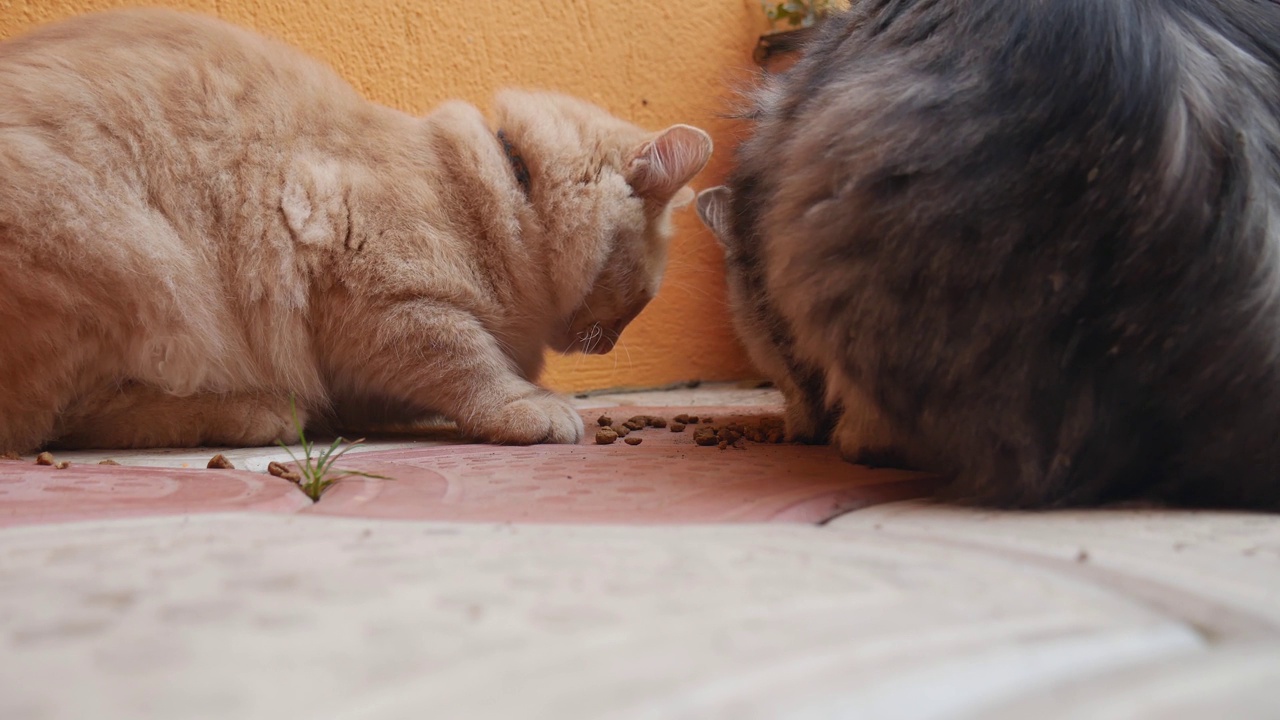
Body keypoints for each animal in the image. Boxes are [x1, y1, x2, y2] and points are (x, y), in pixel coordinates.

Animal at [0, 8, 711, 450]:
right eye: (640, 298)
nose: (612, 344)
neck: (500, 192)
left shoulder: (367, 369)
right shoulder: (385, 301)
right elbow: (469, 362)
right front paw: (529, 405)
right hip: (142, 272)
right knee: (56, 426)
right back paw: (258, 412)